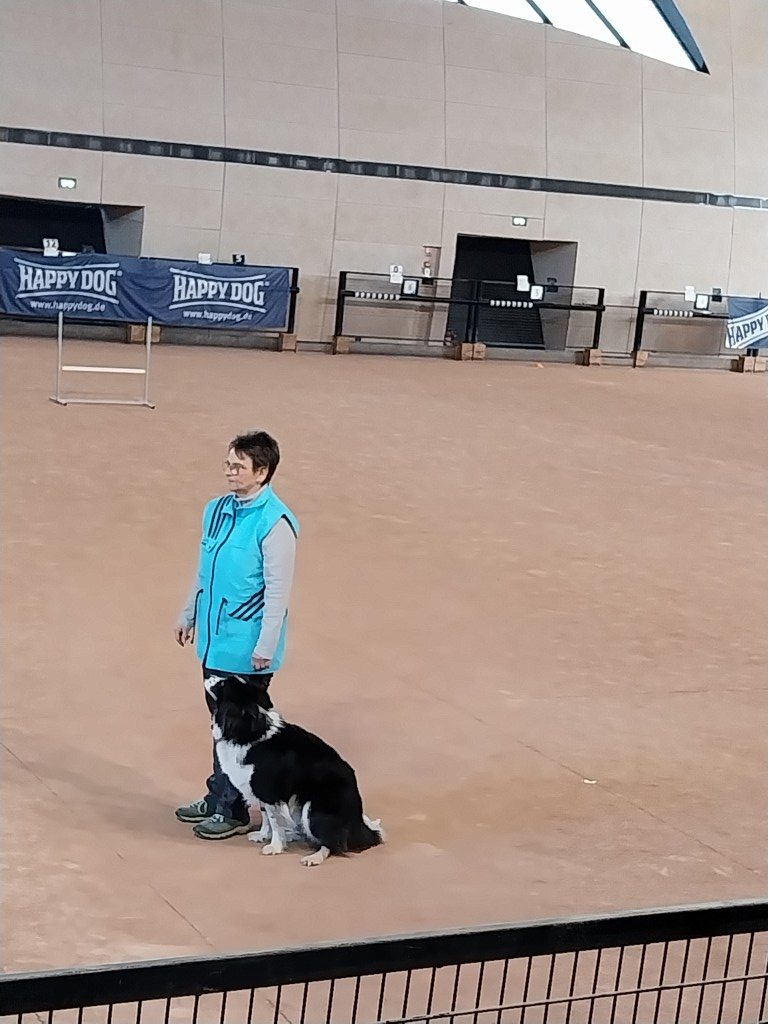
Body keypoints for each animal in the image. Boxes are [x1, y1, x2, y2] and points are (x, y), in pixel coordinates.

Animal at [208, 674, 384, 867]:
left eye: (222, 684)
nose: (210, 675)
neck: (249, 729)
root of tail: (359, 824)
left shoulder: (269, 791)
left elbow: (274, 820)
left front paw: (275, 846)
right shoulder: (260, 790)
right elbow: (265, 815)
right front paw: (263, 835)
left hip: (313, 809)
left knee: (333, 842)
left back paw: (314, 857)